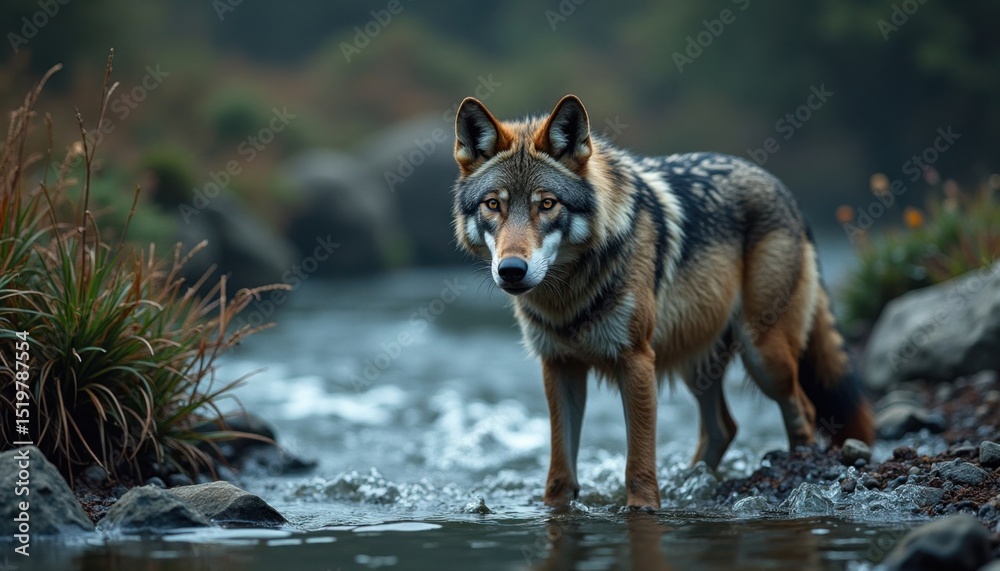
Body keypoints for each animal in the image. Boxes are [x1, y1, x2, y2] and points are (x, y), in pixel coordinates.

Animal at [450, 94, 875, 510]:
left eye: (548, 204)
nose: (511, 270)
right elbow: (560, 467)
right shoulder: (558, 366)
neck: (569, 293)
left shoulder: (637, 359)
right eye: (493, 205)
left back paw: (795, 469)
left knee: (802, 410)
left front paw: (643, 507)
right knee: (724, 428)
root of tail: (783, 190)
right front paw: (556, 508)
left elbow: (639, 457)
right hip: (698, 364)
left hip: (764, 357)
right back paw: (691, 483)